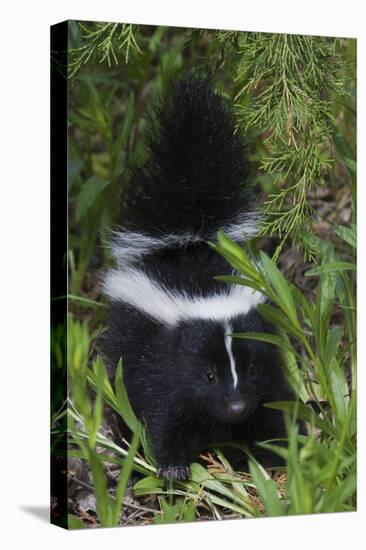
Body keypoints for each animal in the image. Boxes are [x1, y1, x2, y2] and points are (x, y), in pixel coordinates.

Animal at [102, 77, 292, 484]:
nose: (237, 407)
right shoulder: (162, 367)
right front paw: (172, 467)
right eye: (208, 376)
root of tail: (189, 234)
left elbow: (272, 408)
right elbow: (163, 416)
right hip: (127, 341)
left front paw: (275, 458)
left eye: (250, 369)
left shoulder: (269, 366)